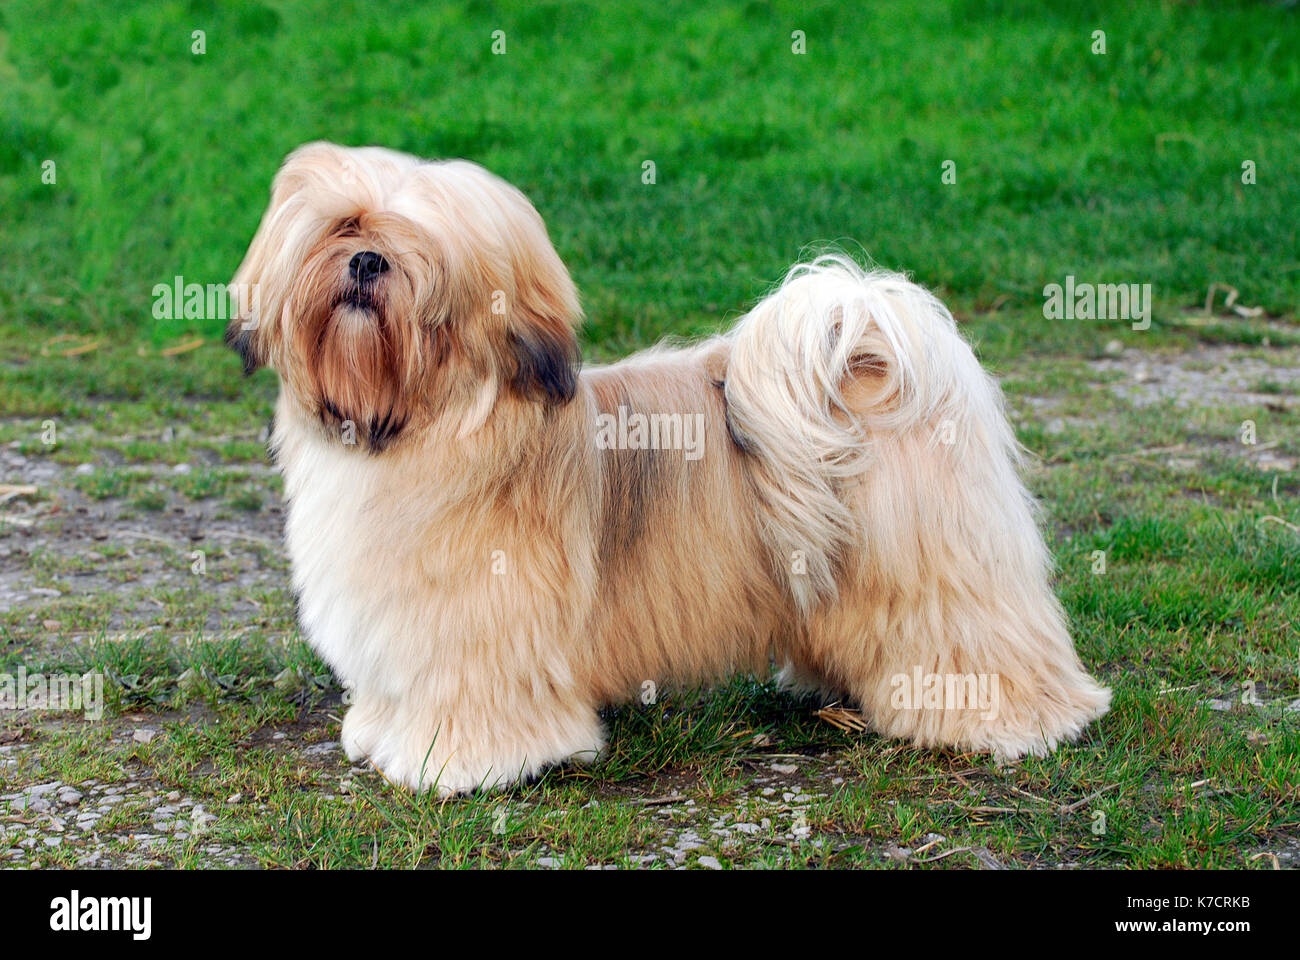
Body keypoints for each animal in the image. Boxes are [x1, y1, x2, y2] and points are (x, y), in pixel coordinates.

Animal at [223, 138, 1107, 790]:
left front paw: (457, 762)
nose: (369, 261)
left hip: (935, 576)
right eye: (346, 225)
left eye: (422, 251)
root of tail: (865, 348)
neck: (418, 423)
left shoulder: (480, 628)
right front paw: (380, 735)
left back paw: (1015, 719)